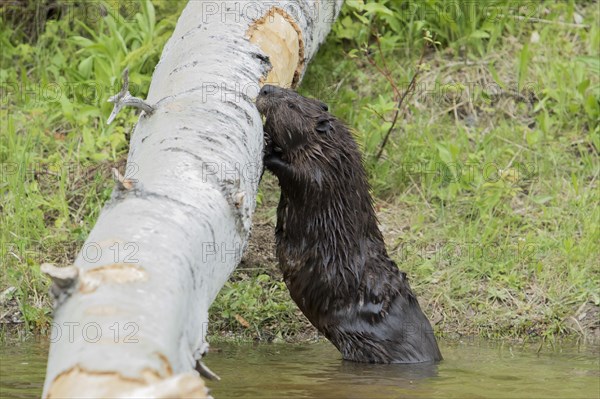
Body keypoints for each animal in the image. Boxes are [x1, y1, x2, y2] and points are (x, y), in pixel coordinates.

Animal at [255, 85, 442, 366]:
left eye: (291, 104)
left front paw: (268, 149)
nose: (265, 89)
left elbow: (301, 177)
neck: (332, 148)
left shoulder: (324, 171)